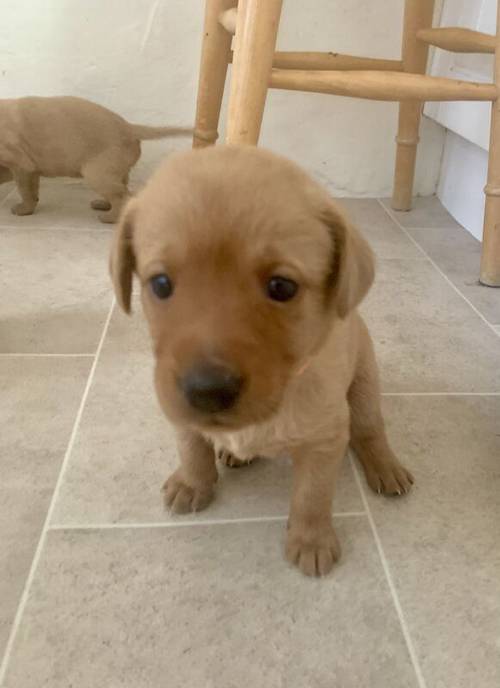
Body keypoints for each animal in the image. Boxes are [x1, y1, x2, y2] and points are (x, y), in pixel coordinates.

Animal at [0, 94, 191, 220]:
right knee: (122, 191)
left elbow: (25, 191)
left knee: (124, 196)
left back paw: (109, 218)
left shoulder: (22, 166)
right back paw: (103, 205)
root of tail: (129, 127)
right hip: (116, 172)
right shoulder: (19, 169)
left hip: (97, 175)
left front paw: (24, 210)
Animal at [109, 145, 410, 576]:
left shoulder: (325, 439)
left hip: (366, 383)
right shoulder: (179, 410)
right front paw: (192, 482)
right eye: (161, 284)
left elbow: (312, 495)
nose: (207, 391)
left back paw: (386, 467)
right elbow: (191, 446)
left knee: (371, 429)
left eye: (282, 287)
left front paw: (311, 540)